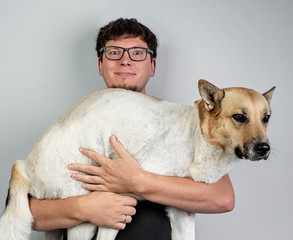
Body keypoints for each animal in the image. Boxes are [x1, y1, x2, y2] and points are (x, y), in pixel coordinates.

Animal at [0, 79, 274, 239]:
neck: (197, 138)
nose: (264, 149)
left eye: (266, 118)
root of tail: (24, 163)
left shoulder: (183, 216)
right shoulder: (119, 201)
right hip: (83, 219)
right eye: (239, 117)